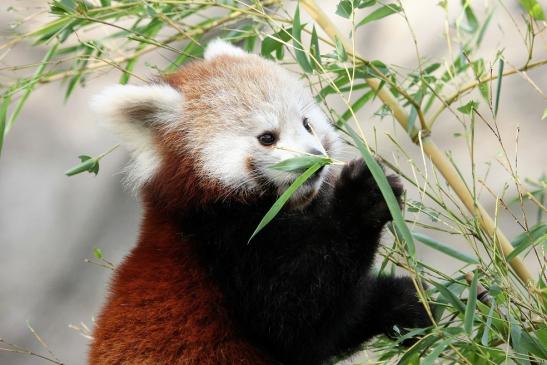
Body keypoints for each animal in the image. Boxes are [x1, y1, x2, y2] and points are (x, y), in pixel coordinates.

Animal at [90, 39, 430, 364]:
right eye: (267, 137)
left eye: (307, 123)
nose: (316, 161)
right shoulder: (226, 248)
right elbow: (295, 320)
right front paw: (364, 195)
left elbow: (335, 325)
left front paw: (408, 303)